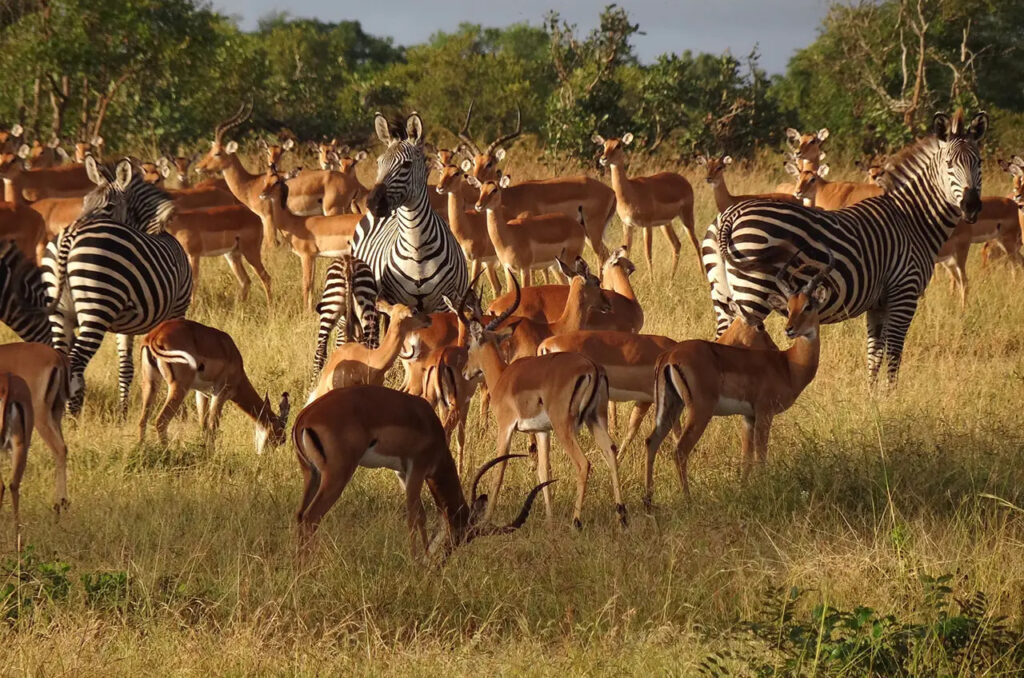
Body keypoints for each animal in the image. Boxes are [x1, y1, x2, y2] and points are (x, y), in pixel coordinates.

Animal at [41, 157, 192, 419]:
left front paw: (122, 413)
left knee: (62, 357)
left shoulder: (126, 325)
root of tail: (71, 234)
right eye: (85, 202)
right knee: (76, 361)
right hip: (96, 306)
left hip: (61, 312)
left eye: (109, 206)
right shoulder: (178, 309)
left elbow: (126, 367)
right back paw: (72, 416)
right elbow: (171, 360)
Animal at [350, 112, 466, 313]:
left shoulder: (443, 305)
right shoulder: (393, 301)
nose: (372, 203)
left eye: (406, 165)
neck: (416, 247)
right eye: (379, 163)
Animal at [704, 112, 983, 387]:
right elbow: (894, 354)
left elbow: (874, 353)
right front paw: (891, 395)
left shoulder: (878, 303)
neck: (913, 220)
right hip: (751, 294)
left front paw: (872, 396)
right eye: (949, 164)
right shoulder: (905, 292)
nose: (971, 207)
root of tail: (728, 215)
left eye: (979, 163)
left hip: (722, 295)